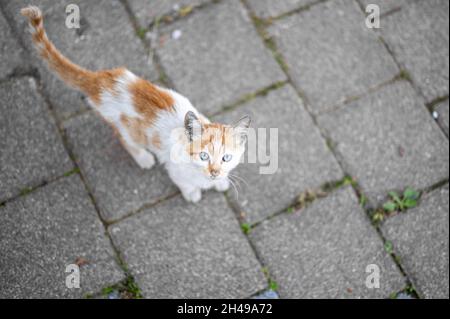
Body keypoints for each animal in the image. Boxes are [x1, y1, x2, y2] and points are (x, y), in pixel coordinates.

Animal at [22, 6, 250, 204]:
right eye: (204, 156)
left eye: (226, 158)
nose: (214, 172)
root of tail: (101, 79)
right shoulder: (175, 169)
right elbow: (185, 183)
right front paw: (193, 193)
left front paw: (221, 182)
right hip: (127, 128)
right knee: (123, 138)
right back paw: (143, 158)